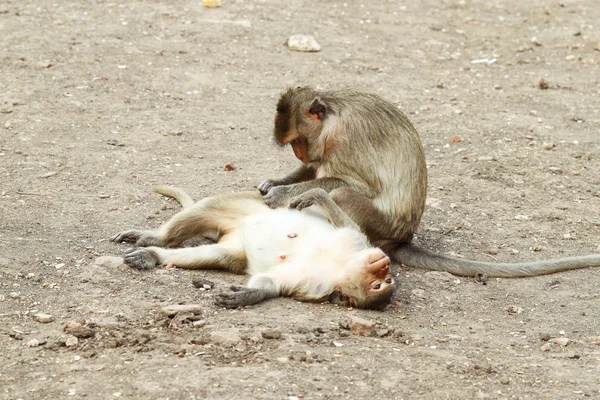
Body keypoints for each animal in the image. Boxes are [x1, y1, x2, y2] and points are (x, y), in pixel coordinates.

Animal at [110, 185, 396, 310]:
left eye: (381, 284)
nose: (385, 264)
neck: (338, 265)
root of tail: (232, 230)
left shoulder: (316, 286)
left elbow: (270, 282)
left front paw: (248, 295)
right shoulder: (357, 244)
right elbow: (345, 224)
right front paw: (315, 194)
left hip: (234, 245)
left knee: (216, 254)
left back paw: (154, 255)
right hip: (243, 205)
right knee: (202, 210)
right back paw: (156, 240)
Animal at [258, 86, 600, 276]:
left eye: (297, 140)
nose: (299, 153)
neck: (334, 115)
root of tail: (402, 238)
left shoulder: (347, 140)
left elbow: (357, 184)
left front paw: (284, 193)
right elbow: (316, 167)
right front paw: (274, 183)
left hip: (380, 224)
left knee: (343, 196)